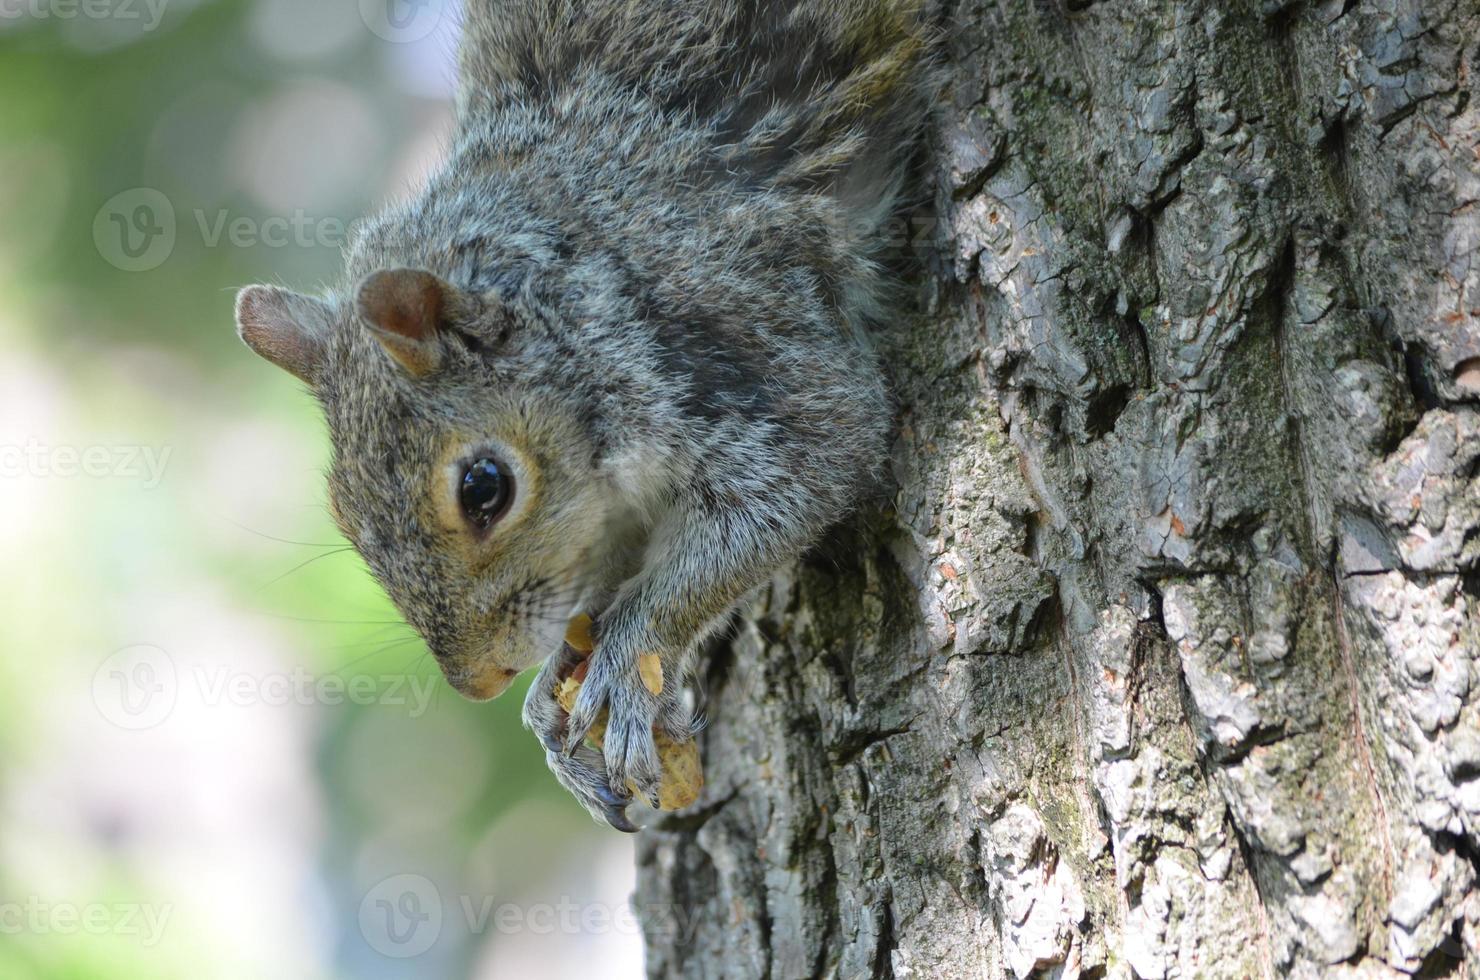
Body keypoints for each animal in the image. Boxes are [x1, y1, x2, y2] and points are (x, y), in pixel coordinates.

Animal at [232, 0, 929, 834]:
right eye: (341, 512)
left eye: (485, 489)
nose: (479, 682)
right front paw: (554, 687)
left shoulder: (739, 323)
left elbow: (807, 465)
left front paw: (628, 656)